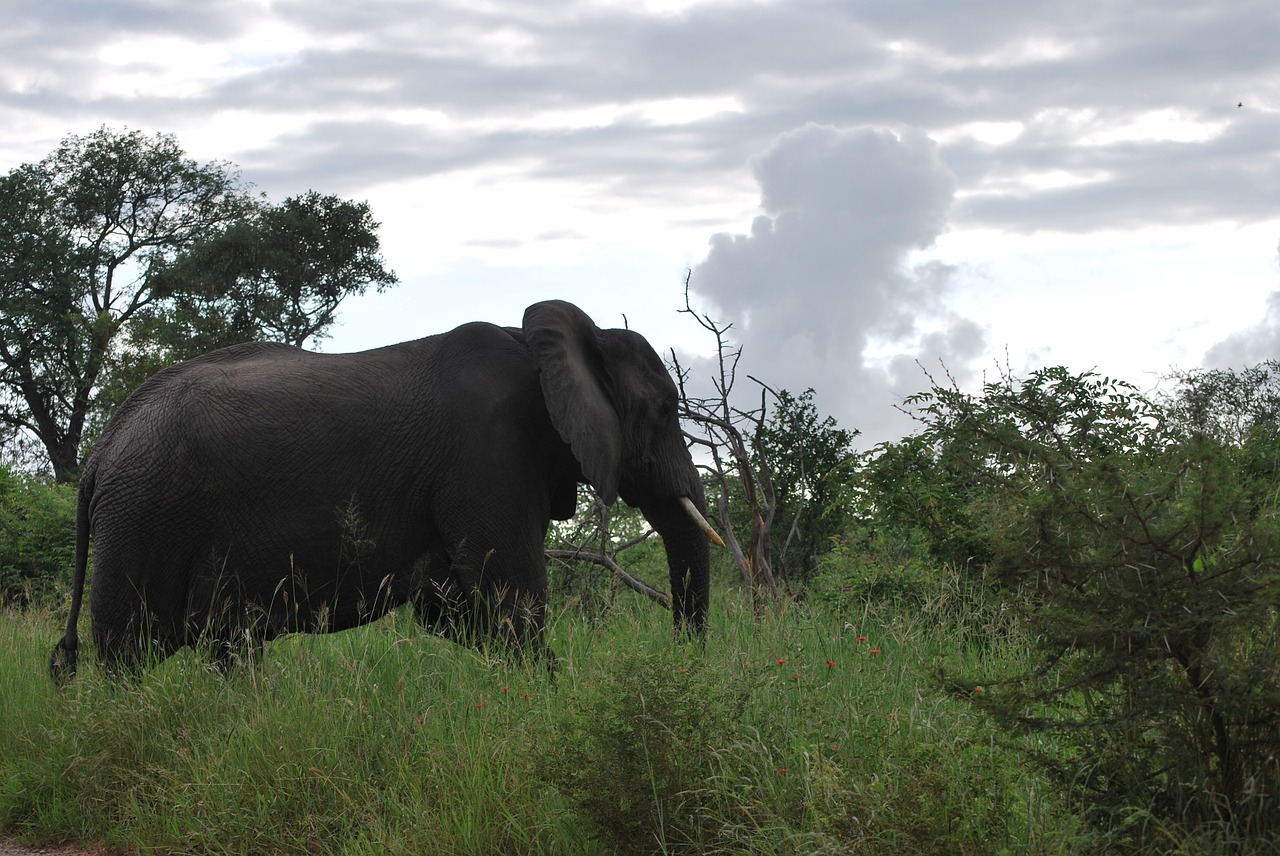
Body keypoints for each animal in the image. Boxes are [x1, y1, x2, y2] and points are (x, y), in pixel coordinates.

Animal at [49, 300, 721, 680]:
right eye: (666, 409)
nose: (680, 664)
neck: (549, 344)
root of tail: (100, 453)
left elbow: (454, 609)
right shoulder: (489, 452)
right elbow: (512, 603)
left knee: (230, 648)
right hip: (144, 517)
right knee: (129, 653)